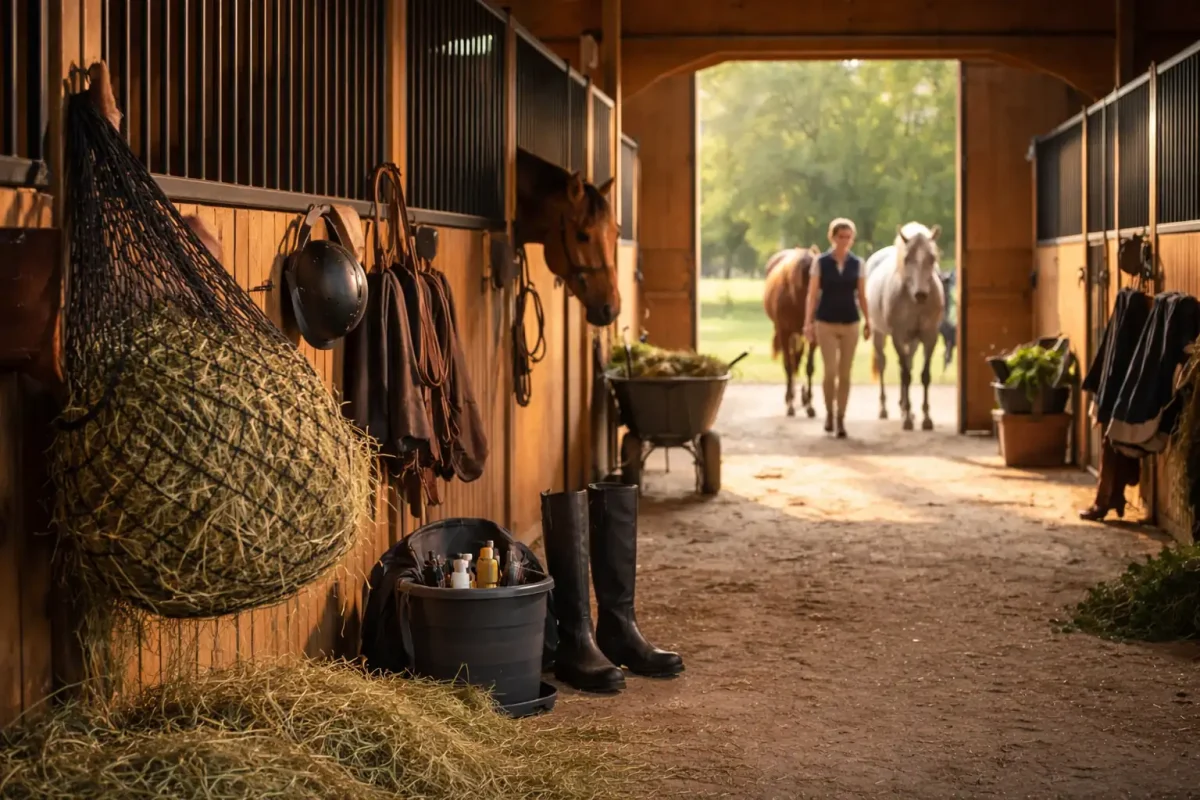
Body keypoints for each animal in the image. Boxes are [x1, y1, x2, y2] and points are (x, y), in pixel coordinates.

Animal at [762, 245, 821, 418]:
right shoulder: (784, 332)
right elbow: (788, 365)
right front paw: (790, 404)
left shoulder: (812, 336)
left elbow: (809, 367)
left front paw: (809, 405)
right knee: (792, 362)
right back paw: (791, 397)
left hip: (799, 335)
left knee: (797, 360)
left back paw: (801, 398)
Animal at [864, 222, 946, 431]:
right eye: (907, 258)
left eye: (932, 258)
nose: (921, 294)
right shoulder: (898, 336)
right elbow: (906, 376)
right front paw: (907, 419)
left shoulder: (929, 337)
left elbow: (924, 375)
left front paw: (926, 418)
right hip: (879, 334)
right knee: (885, 364)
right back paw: (885, 409)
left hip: (913, 341)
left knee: (907, 363)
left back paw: (904, 407)